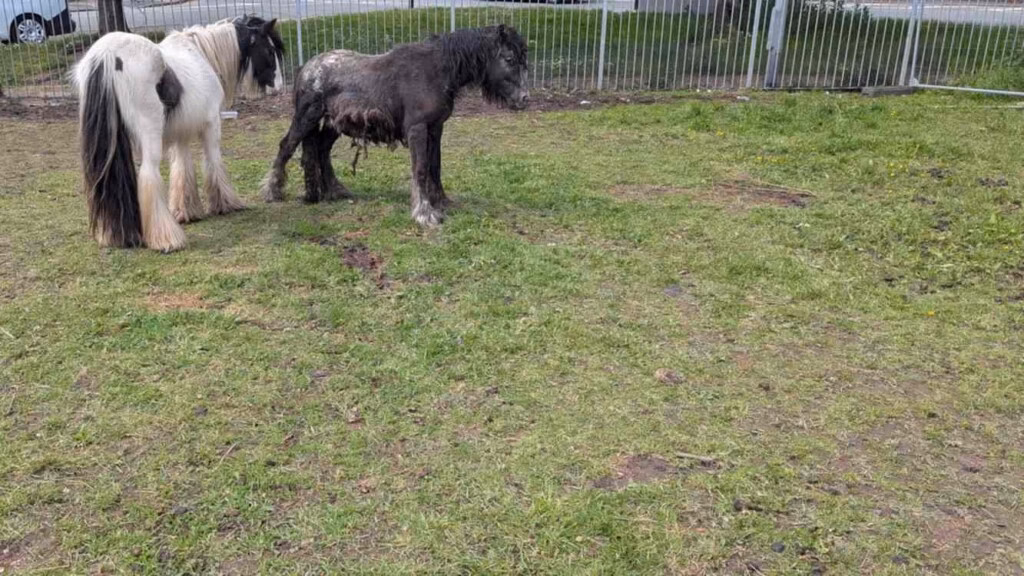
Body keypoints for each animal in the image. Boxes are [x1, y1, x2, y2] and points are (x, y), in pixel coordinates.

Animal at [73, 15, 285, 252]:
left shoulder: (181, 134)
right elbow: (213, 162)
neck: (202, 54)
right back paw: (166, 239)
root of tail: (106, 56)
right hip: (150, 137)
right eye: (269, 50)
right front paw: (226, 204)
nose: (279, 87)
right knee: (149, 175)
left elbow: (182, 169)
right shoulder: (212, 125)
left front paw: (186, 212)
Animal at [260, 24, 529, 227]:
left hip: (332, 125)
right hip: (307, 117)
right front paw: (424, 213)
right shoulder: (417, 129)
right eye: (509, 58)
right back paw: (272, 191)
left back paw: (334, 191)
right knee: (287, 146)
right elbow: (420, 169)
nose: (524, 99)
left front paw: (441, 202)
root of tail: (306, 67)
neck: (435, 71)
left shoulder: (436, 128)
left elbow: (435, 167)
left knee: (321, 151)